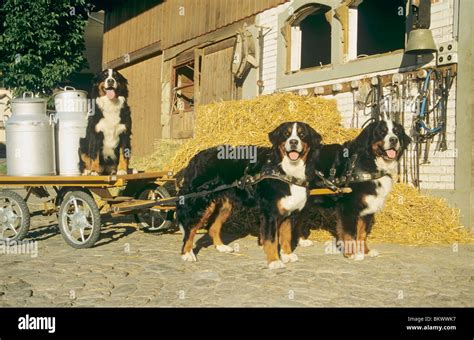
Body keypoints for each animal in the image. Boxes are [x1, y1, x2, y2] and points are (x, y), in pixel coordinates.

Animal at [177, 121, 322, 268]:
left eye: (302, 134)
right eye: (286, 134)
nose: (293, 142)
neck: (286, 171)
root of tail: (195, 157)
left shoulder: (289, 212)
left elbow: (286, 236)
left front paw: (287, 255)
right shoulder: (270, 213)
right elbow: (272, 239)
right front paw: (274, 261)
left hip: (225, 206)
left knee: (212, 227)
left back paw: (222, 247)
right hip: (200, 202)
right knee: (190, 228)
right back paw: (187, 253)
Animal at [298, 119, 410, 258]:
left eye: (397, 132)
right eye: (381, 132)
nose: (394, 140)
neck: (370, 163)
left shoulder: (368, 207)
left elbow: (362, 233)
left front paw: (365, 251)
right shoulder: (348, 207)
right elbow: (349, 233)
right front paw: (351, 254)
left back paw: (301, 241)